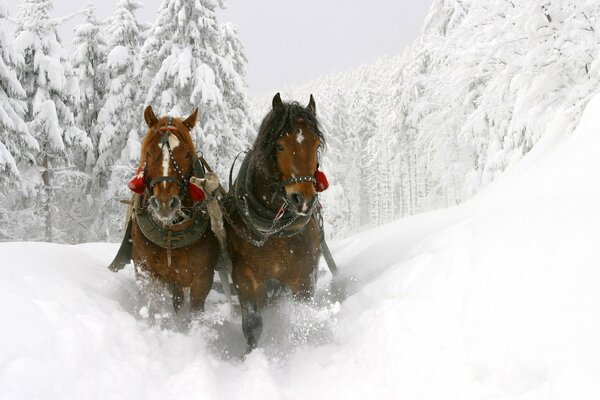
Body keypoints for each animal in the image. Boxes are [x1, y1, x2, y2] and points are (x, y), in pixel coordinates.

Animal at [109, 106, 219, 312]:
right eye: (149, 153)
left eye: (187, 154)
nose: (165, 204)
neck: (171, 233)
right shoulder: (148, 271)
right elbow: (155, 305)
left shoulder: (203, 278)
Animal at [226, 92, 328, 352]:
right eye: (280, 145)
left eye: (316, 145)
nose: (303, 199)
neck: (273, 230)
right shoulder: (245, 276)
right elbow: (252, 325)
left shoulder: (304, 278)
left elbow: (302, 318)